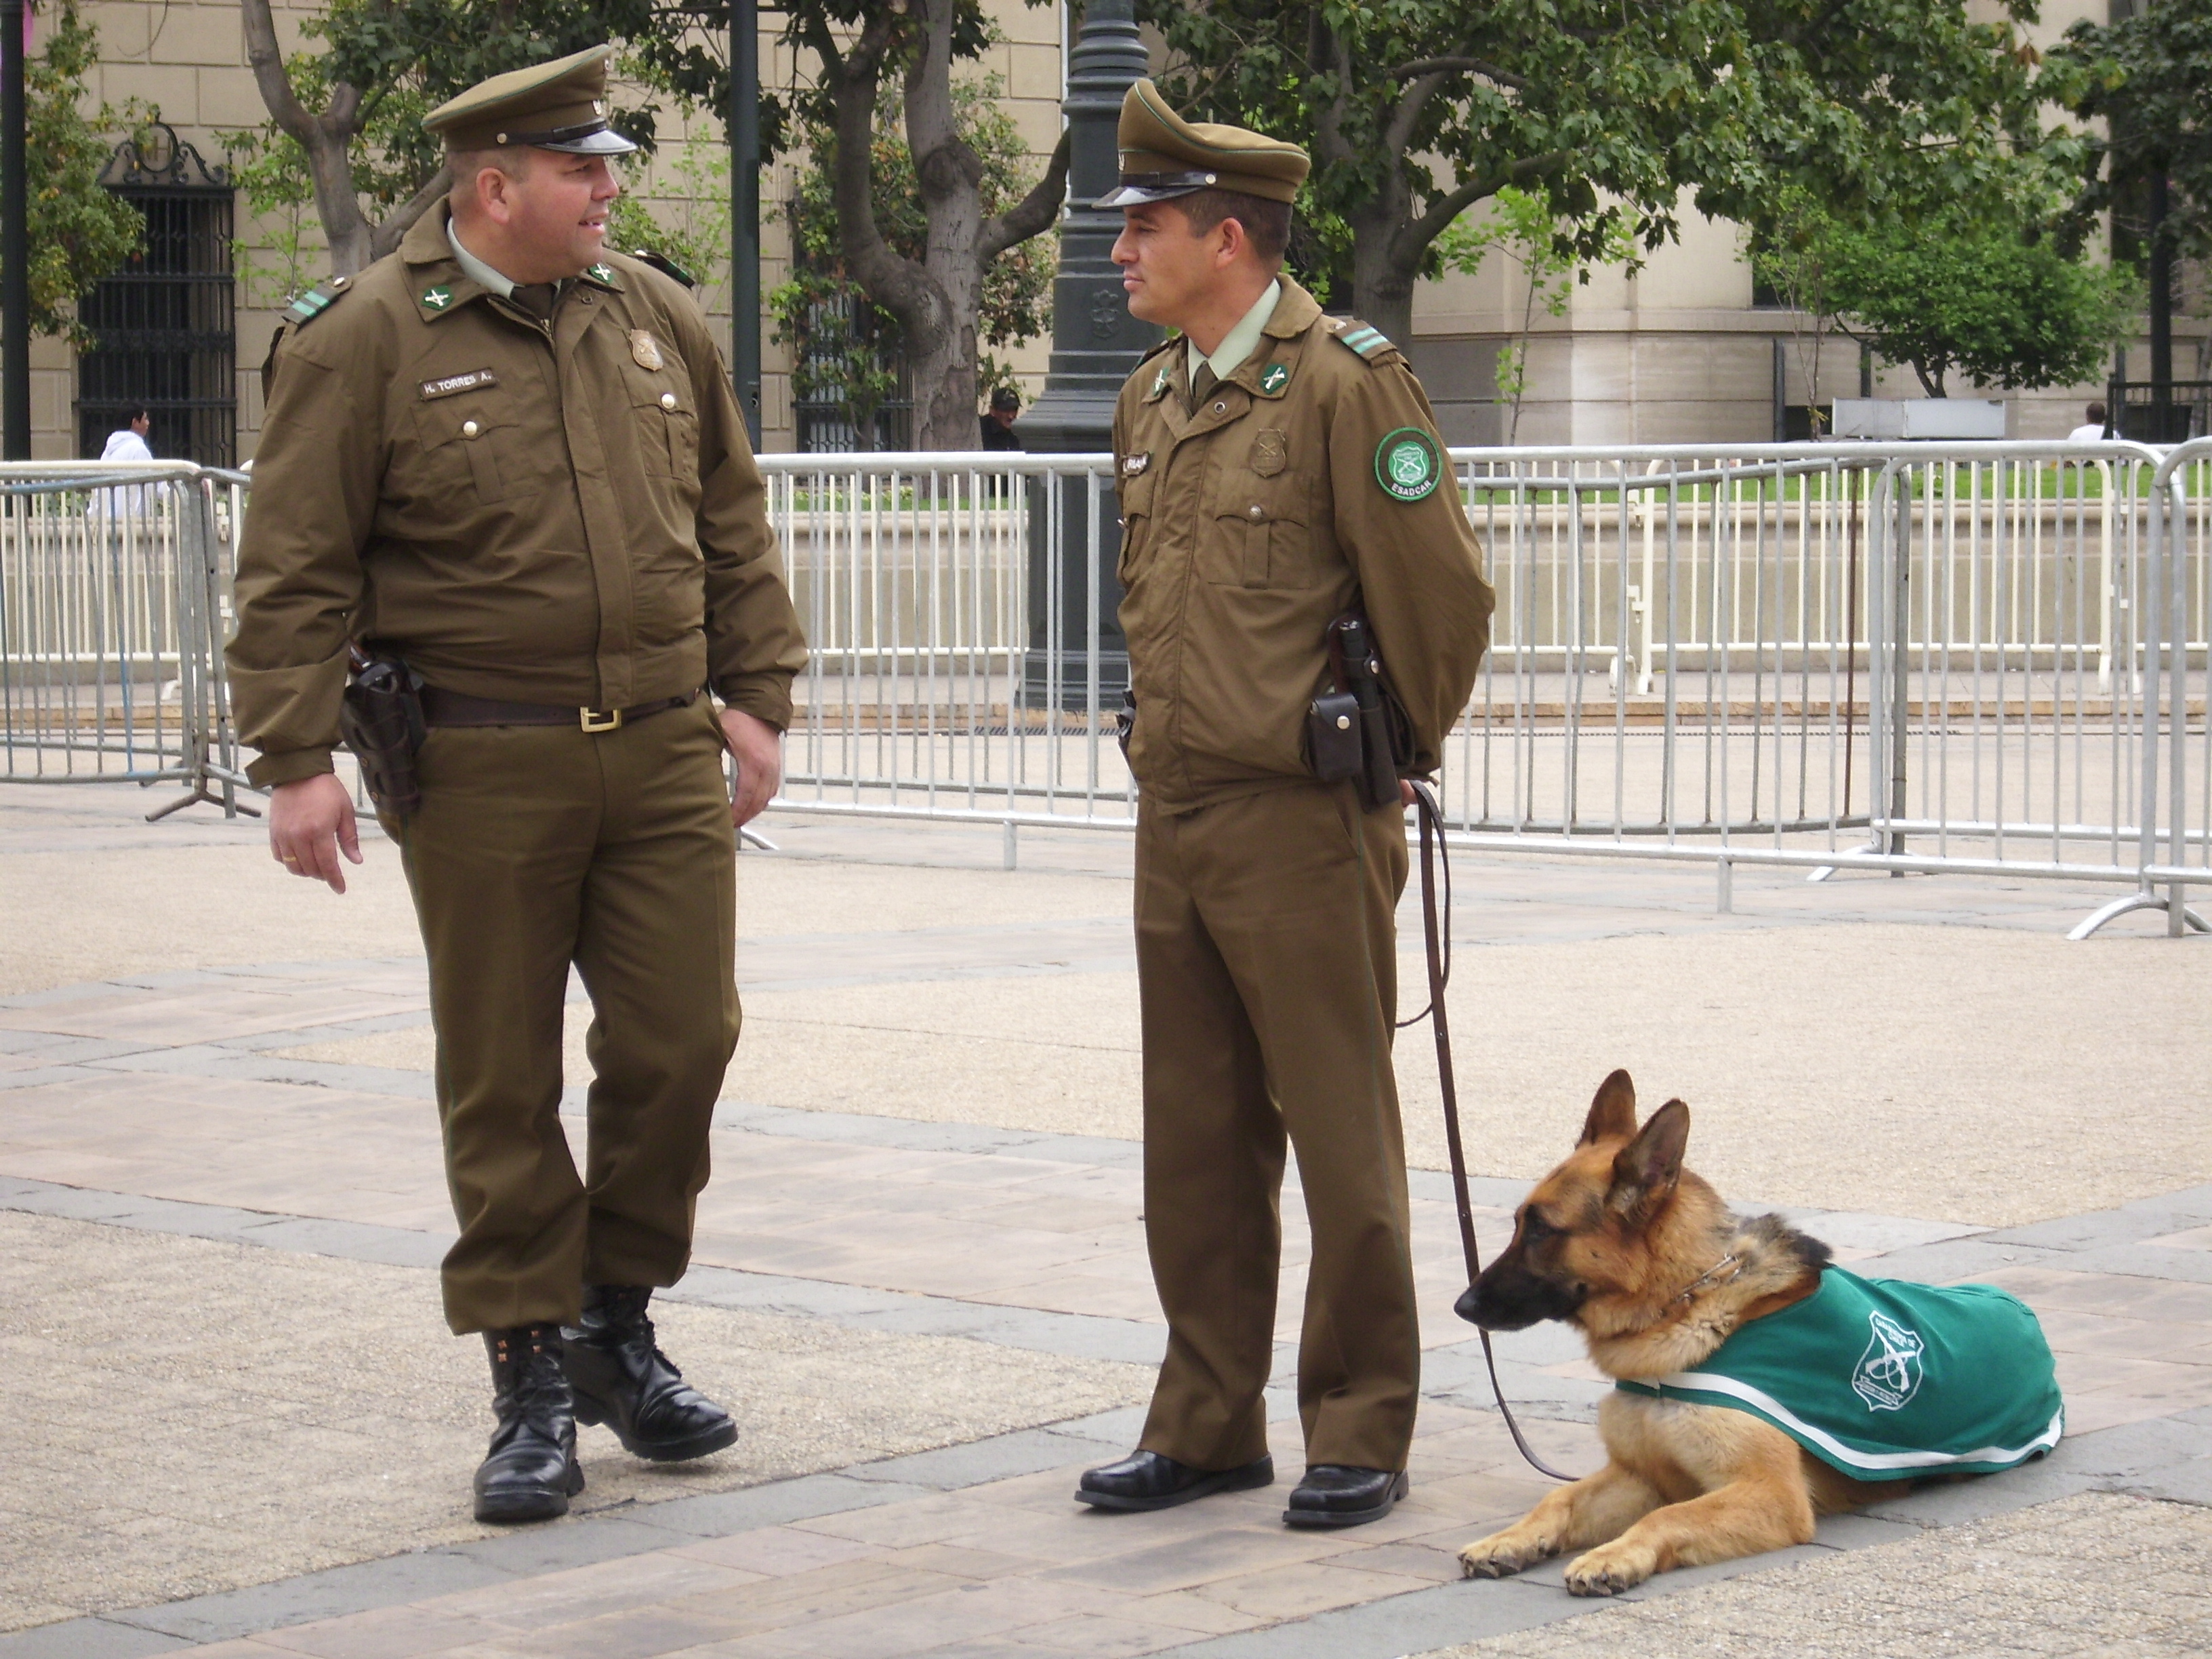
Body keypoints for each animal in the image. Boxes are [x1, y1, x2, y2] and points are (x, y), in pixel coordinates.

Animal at [1460, 1070, 2062, 1601]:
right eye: (1518, 1222)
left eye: (1542, 1231)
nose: (1461, 1307)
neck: (1686, 1306)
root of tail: (2020, 1311)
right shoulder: (1638, 1474)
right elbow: (1559, 1498)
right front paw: (1509, 1540)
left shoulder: (1769, 1493)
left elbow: (1668, 1515)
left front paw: (1614, 1555)